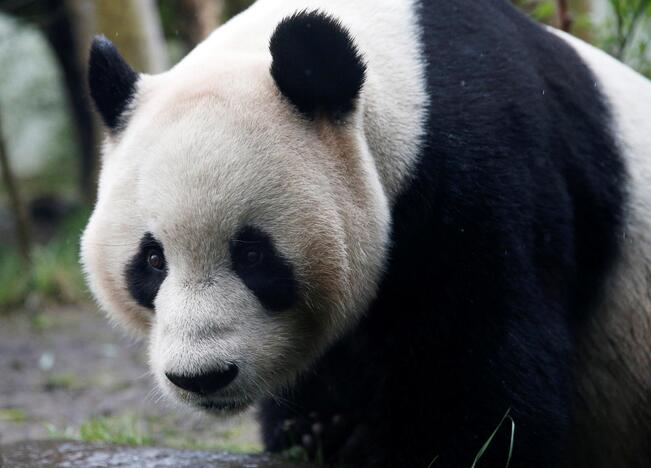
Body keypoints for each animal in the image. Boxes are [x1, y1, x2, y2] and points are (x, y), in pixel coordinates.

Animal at [81, 0, 651, 466]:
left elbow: (489, 371)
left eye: (253, 255)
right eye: (152, 260)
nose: (202, 376)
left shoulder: (492, 170)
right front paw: (319, 433)